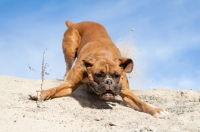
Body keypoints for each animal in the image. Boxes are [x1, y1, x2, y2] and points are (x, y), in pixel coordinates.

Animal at [29, 20, 169, 118]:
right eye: (98, 75)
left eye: (116, 76)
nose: (108, 82)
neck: (104, 55)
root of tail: (74, 23)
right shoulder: (69, 85)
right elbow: (54, 89)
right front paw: (40, 93)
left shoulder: (126, 92)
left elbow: (140, 103)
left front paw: (156, 110)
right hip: (70, 49)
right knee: (67, 67)